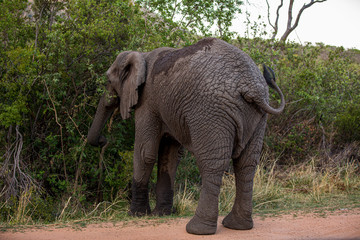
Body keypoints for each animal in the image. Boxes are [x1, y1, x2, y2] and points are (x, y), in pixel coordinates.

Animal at [87, 37, 284, 234]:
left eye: (108, 80)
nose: (103, 140)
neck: (142, 55)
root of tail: (250, 86)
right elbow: (170, 156)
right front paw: (161, 214)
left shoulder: (147, 101)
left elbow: (145, 152)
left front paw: (136, 214)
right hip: (257, 116)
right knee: (246, 164)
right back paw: (238, 226)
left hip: (209, 111)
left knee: (212, 163)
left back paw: (197, 229)